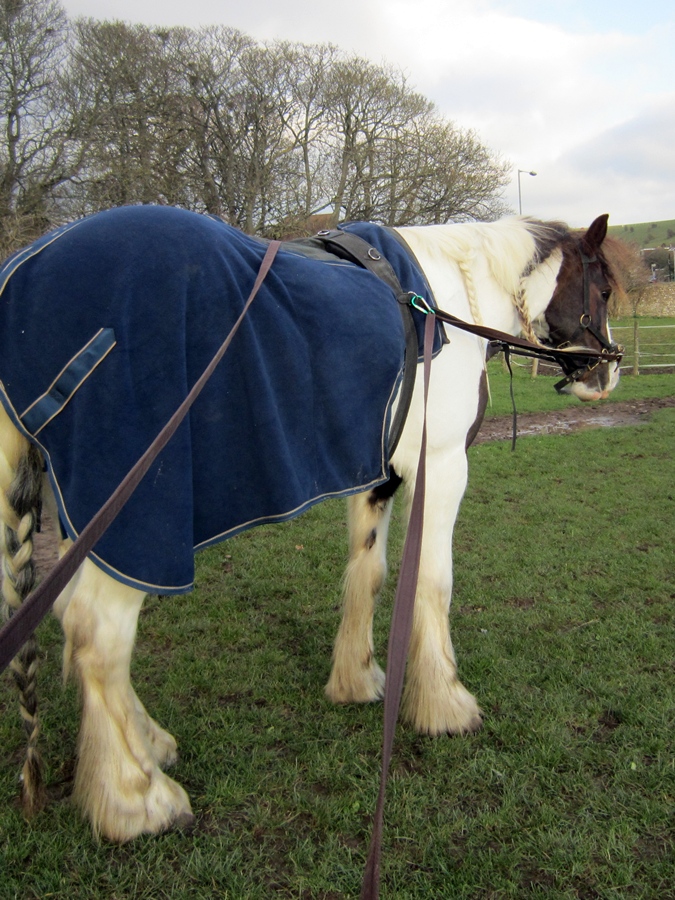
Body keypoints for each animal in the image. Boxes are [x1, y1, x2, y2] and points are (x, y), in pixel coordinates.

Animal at [0, 205, 620, 842]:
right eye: (602, 289)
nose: (607, 375)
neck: (446, 298)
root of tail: (20, 276)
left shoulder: (378, 476)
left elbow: (369, 574)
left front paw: (357, 680)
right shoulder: (443, 466)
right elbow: (432, 583)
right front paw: (445, 705)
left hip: (82, 522)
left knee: (72, 618)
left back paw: (146, 746)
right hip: (136, 518)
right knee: (97, 633)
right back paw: (137, 798)